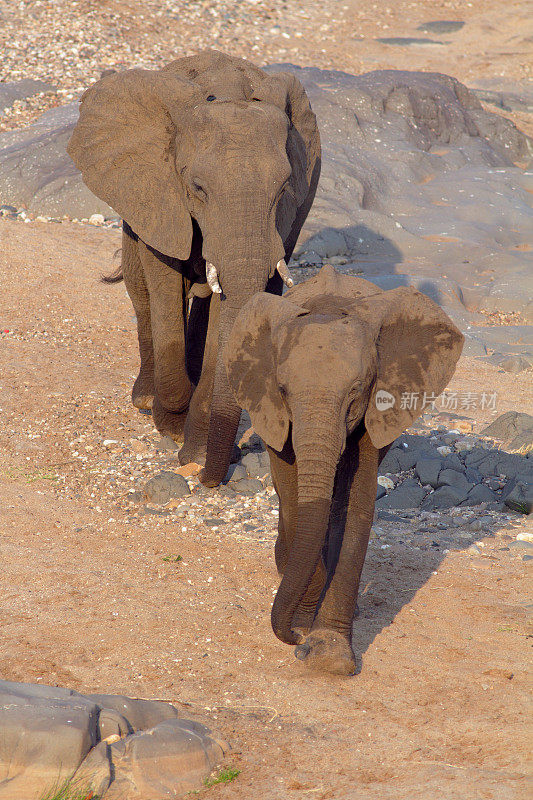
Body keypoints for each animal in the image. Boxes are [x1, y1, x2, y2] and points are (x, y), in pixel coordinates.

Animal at [69, 53, 320, 488]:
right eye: (198, 188)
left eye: (284, 188)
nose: (205, 479)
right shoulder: (159, 191)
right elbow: (163, 283)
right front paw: (170, 422)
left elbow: (228, 311)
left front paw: (196, 451)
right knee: (141, 295)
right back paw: (145, 399)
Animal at [224, 268, 462, 676]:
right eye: (283, 389)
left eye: (356, 389)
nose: (294, 640)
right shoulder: (268, 403)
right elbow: (294, 500)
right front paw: (306, 625)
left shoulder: (377, 404)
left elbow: (354, 505)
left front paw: (329, 657)